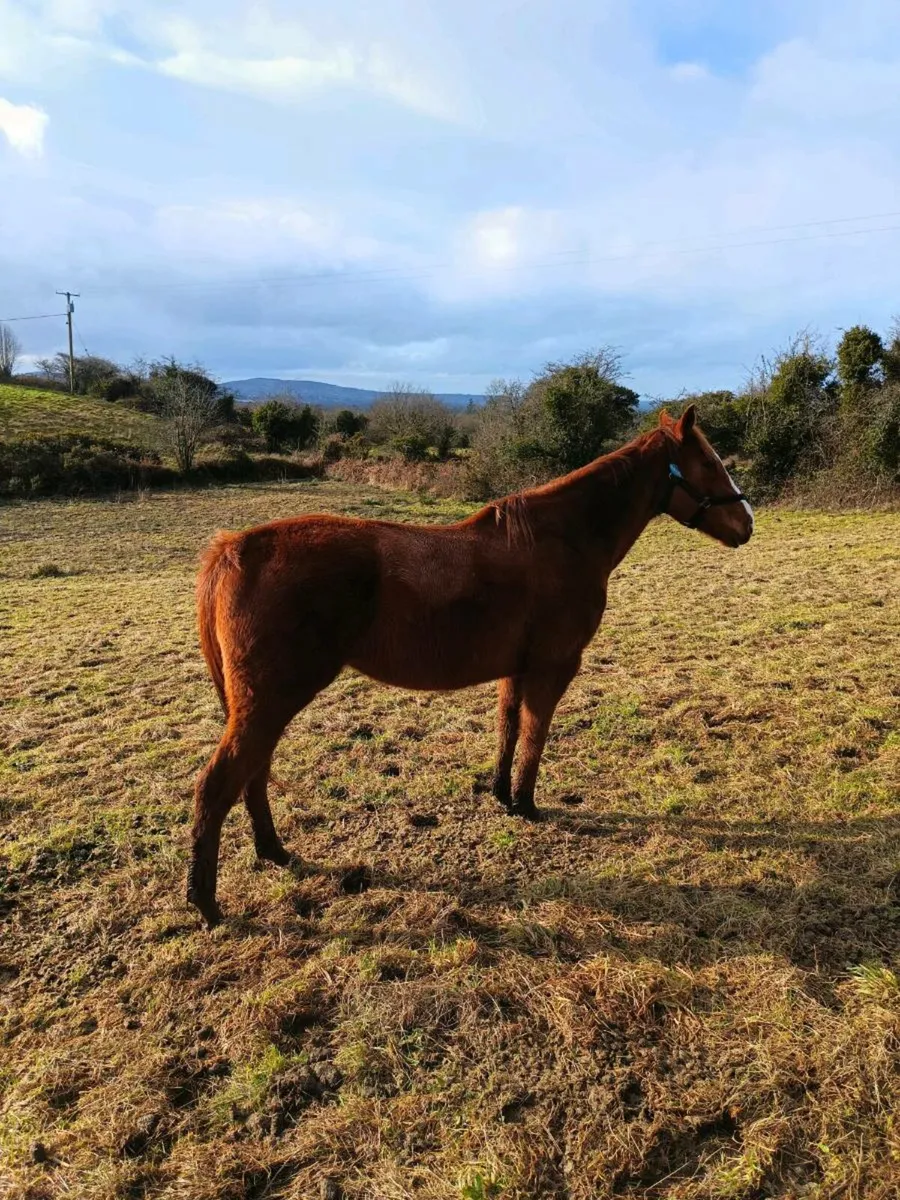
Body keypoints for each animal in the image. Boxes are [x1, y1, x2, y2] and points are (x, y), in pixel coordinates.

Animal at [187, 404, 753, 927]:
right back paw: (205, 902)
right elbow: (535, 733)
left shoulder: (516, 669)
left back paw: (274, 853)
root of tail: (234, 549)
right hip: (269, 702)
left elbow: (508, 727)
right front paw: (526, 803)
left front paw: (502, 795)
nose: (747, 524)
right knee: (219, 784)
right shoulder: (553, 667)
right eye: (709, 461)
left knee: (253, 775)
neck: (562, 540)